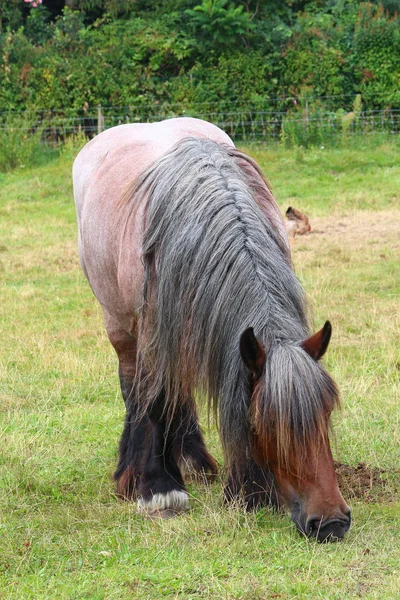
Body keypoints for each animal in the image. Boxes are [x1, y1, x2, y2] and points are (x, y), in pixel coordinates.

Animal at [73, 117, 352, 544]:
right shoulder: (152, 335)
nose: (332, 523)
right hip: (122, 327)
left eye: (325, 413)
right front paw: (160, 490)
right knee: (135, 389)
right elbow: (155, 402)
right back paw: (135, 473)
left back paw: (193, 461)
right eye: (268, 426)